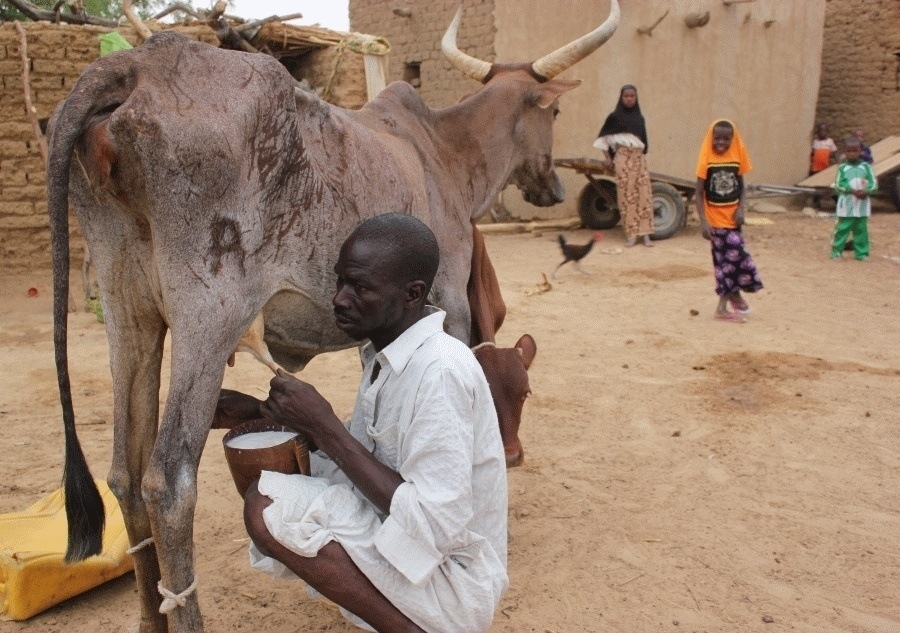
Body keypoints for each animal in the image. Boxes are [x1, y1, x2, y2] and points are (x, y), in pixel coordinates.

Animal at [47, 2, 620, 628]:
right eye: (555, 110)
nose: (553, 186)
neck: (446, 152)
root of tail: (136, 66)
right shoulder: (451, 302)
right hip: (209, 314)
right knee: (167, 482)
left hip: (128, 310)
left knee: (124, 474)